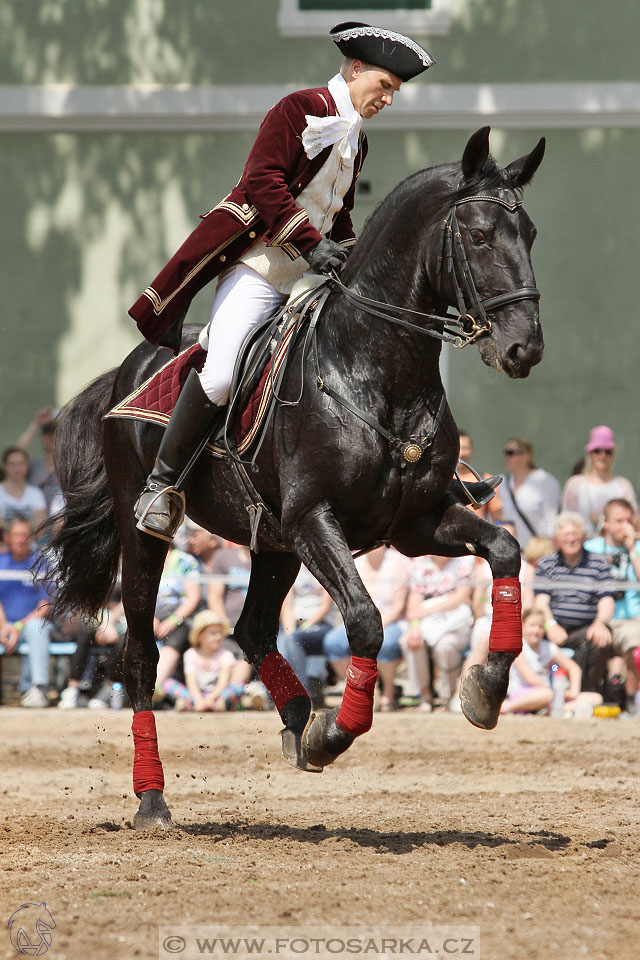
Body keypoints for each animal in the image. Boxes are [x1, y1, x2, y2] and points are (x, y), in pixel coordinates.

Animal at [47, 127, 544, 828]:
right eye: (477, 236)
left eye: (528, 233)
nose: (525, 348)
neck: (373, 371)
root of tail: (129, 370)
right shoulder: (315, 520)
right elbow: (365, 619)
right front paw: (334, 734)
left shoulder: (415, 525)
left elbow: (505, 549)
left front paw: (486, 688)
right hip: (149, 537)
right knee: (142, 653)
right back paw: (153, 797)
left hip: (275, 544)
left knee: (251, 628)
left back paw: (295, 715)